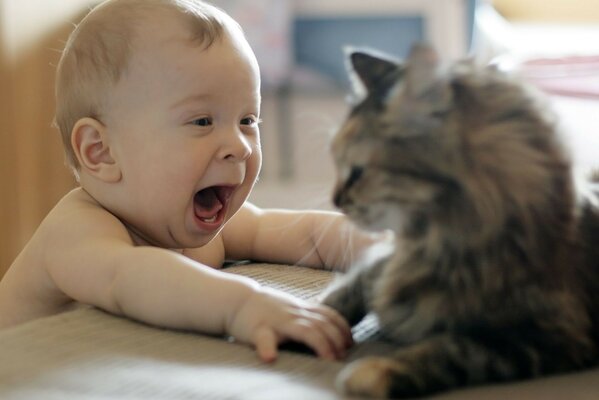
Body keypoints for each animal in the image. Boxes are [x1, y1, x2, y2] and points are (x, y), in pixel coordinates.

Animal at [326, 42, 599, 398]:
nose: (335, 201)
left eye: (357, 172)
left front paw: (377, 370)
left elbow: (452, 348)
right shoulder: (384, 261)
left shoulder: (551, 336)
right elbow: (350, 287)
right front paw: (310, 318)